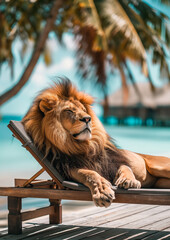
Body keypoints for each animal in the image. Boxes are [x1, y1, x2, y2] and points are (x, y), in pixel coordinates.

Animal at [22, 78, 170, 207]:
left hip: (159, 167)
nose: (88, 119)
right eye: (69, 110)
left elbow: (125, 167)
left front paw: (129, 180)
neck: (82, 145)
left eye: (83, 110)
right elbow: (90, 174)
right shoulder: (69, 168)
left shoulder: (113, 161)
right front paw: (102, 191)